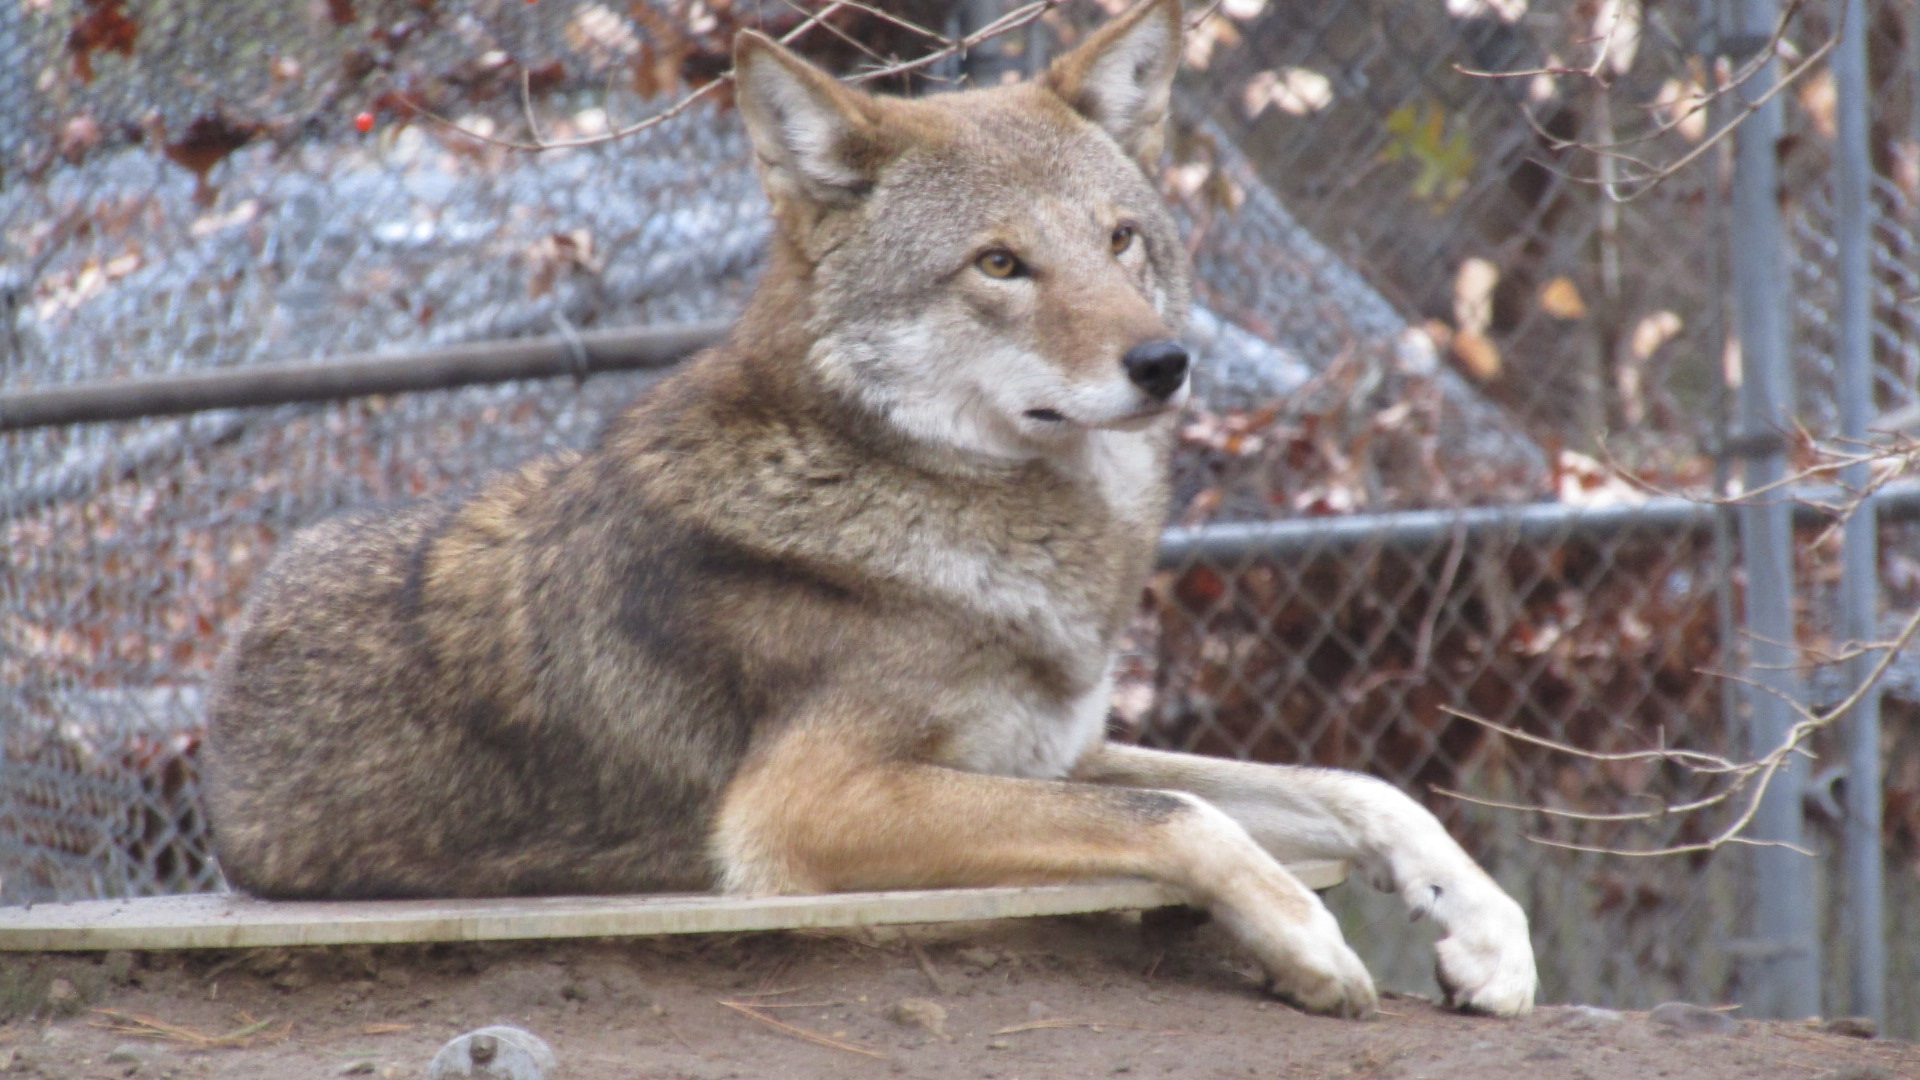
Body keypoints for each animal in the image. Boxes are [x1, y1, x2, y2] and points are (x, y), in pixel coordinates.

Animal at [203, 0, 1536, 1018]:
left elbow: (1357, 789)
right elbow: (1185, 812)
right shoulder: (806, 808)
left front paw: (1486, 933)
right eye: (999, 264)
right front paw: (1308, 942)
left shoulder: (1060, 753)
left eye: (1120, 241)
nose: (1166, 364)